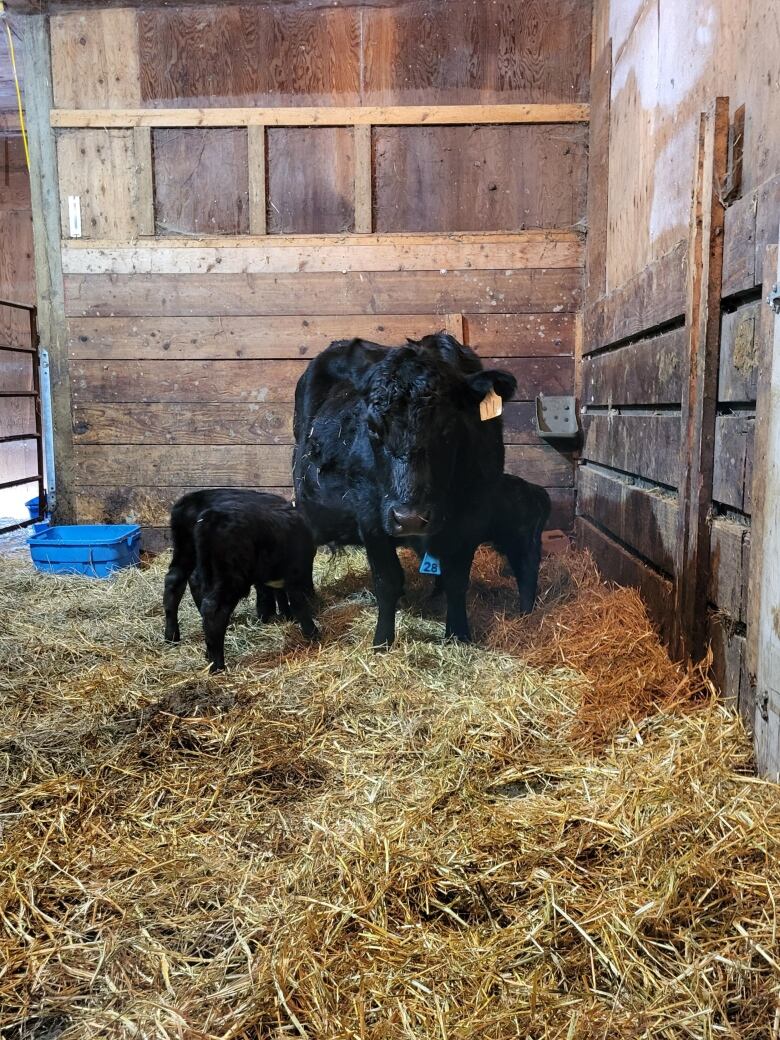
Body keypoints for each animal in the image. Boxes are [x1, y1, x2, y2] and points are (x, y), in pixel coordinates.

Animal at [163, 488, 318, 669]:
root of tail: (209, 517)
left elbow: (272, 592)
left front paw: (273, 614)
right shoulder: (294, 571)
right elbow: (296, 600)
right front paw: (309, 631)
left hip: (186, 550)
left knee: (176, 582)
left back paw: (174, 637)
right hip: (231, 575)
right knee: (213, 609)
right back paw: (217, 664)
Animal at [295, 332, 520, 644]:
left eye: (448, 426)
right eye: (373, 427)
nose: (410, 518)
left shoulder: (474, 513)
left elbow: (457, 579)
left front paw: (458, 634)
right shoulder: (370, 515)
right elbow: (387, 580)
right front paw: (382, 641)